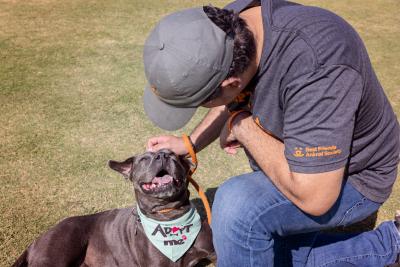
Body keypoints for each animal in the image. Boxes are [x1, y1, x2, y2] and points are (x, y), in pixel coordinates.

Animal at [12, 150, 216, 266]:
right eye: (143, 159)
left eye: (174, 155)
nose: (163, 155)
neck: (169, 215)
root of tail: (34, 243)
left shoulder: (213, 253)